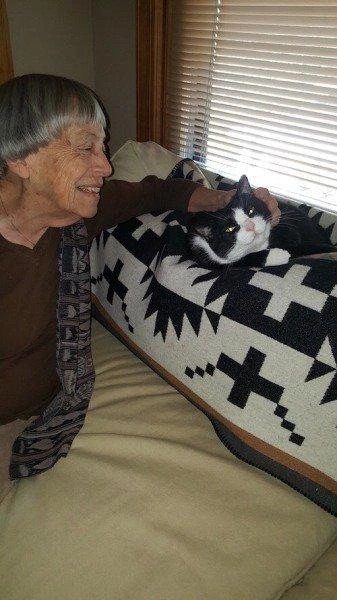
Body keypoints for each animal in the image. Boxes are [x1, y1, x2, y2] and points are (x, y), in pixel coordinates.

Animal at [186, 175, 334, 266]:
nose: (250, 225)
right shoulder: (204, 255)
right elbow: (242, 260)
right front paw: (279, 254)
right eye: (230, 229)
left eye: (250, 211)